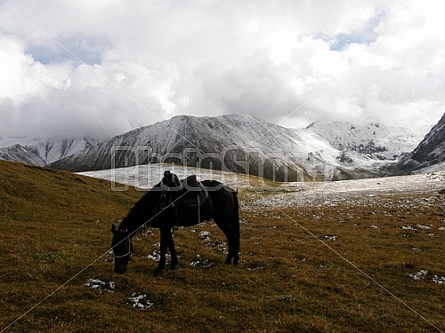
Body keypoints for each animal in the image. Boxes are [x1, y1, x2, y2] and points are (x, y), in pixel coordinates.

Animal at [111, 171, 239, 274]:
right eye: (113, 247)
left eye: (122, 246)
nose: (118, 270)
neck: (157, 202)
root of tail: (230, 190)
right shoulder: (167, 227)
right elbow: (170, 244)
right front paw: (174, 264)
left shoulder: (164, 226)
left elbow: (163, 246)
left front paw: (159, 269)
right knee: (231, 238)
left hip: (224, 221)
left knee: (233, 238)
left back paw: (232, 260)